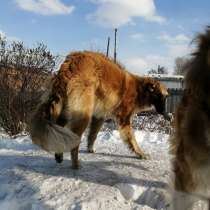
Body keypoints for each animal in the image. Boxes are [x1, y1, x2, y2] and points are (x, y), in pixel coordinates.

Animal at [30, 50, 168, 169]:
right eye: (161, 96)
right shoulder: (124, 119)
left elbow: (93, 134)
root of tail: (70, 64)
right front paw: (140, 153)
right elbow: (132, 139)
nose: (167, 114)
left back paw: (59, 155)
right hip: (83, 114)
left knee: (61, 131)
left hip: (65, 109)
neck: (139, 90)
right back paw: (75, 164)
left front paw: (90, 148)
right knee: (74, 140)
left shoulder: (99, 116)